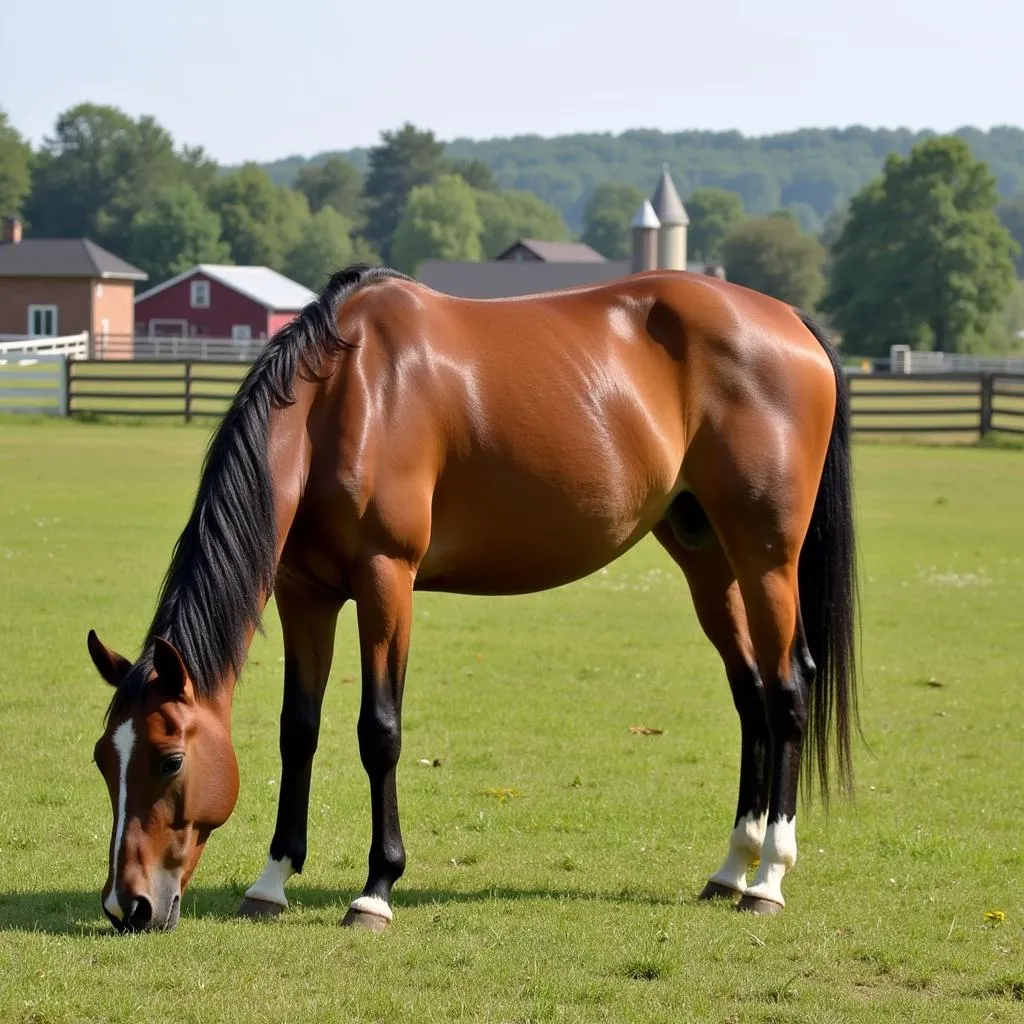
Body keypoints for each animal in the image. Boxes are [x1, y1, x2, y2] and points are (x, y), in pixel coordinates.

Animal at [86, 260, 856, 933]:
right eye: (102, 759)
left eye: (171, 759)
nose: (129, 907)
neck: (344, 399)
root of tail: (788, 320)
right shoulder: (304, 594)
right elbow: (296, 730)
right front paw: (272, 882)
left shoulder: (386, 579)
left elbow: (379, 731)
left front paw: (376, 890)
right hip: (705, 555)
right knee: (751, 695)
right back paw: (730, 869)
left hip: (766, 558)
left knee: (787, 692)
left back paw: (768, 880)